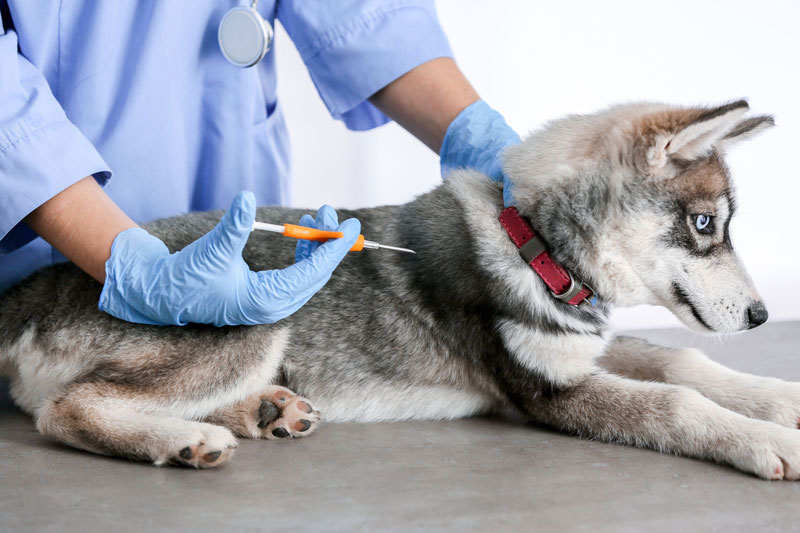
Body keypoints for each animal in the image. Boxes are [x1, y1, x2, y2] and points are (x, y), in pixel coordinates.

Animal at [1, 101, 800, 478]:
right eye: (705, 224)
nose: (763, 315)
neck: (535, 245)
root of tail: (35, 285)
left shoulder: (584, 349)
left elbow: (683, 362)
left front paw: (780, 399)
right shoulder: (552, 389)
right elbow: (677, 401)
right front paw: (765, 440)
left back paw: (263, 411)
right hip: (258, 318)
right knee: (66, 409)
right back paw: (185, 438)